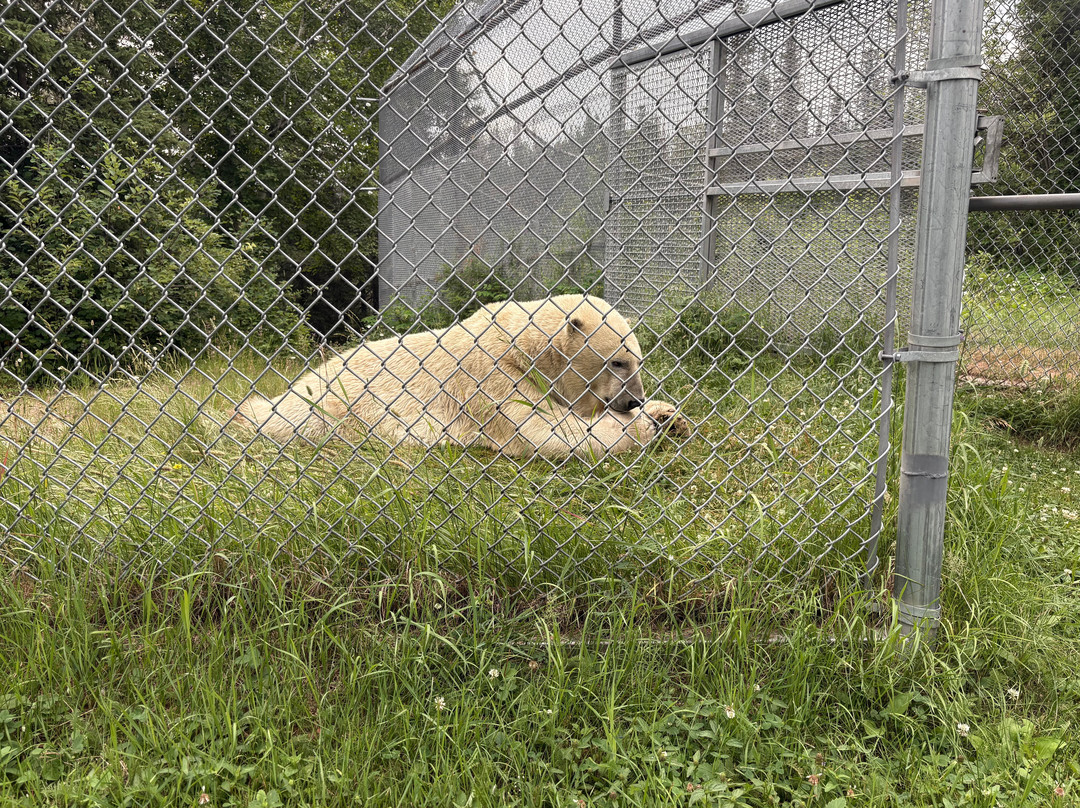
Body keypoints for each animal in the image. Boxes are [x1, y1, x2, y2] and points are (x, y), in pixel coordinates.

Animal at [233, 295, 689, 458]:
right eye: (617, 362)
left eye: (639, 361)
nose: (633, 400)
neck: (523, 345)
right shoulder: (490, 375)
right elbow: (541, 429)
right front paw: (644, 426)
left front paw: (670, 416)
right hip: (333, 404)